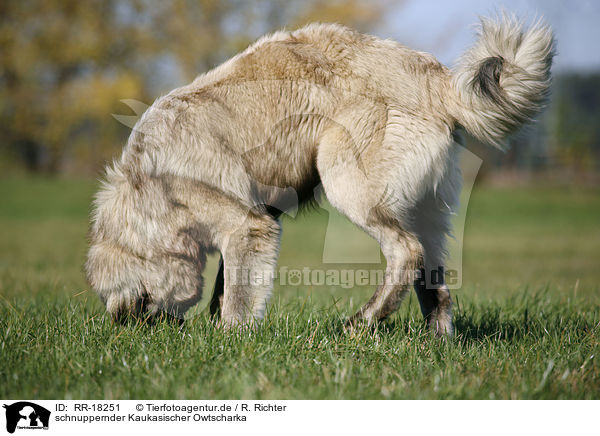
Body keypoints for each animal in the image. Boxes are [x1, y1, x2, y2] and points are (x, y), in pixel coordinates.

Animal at [86, 13, 556, 334]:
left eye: (131, 300)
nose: (124, 327)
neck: (149, 188)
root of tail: (438, 82)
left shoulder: (248, 225)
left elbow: (236, 297)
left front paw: (230, 338)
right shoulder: (257, 222)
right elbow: (226, 286)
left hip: (349, 186)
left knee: (405, 254)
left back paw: (361, 323)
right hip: (428, 215)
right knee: (434, 284)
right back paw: (435, 343)